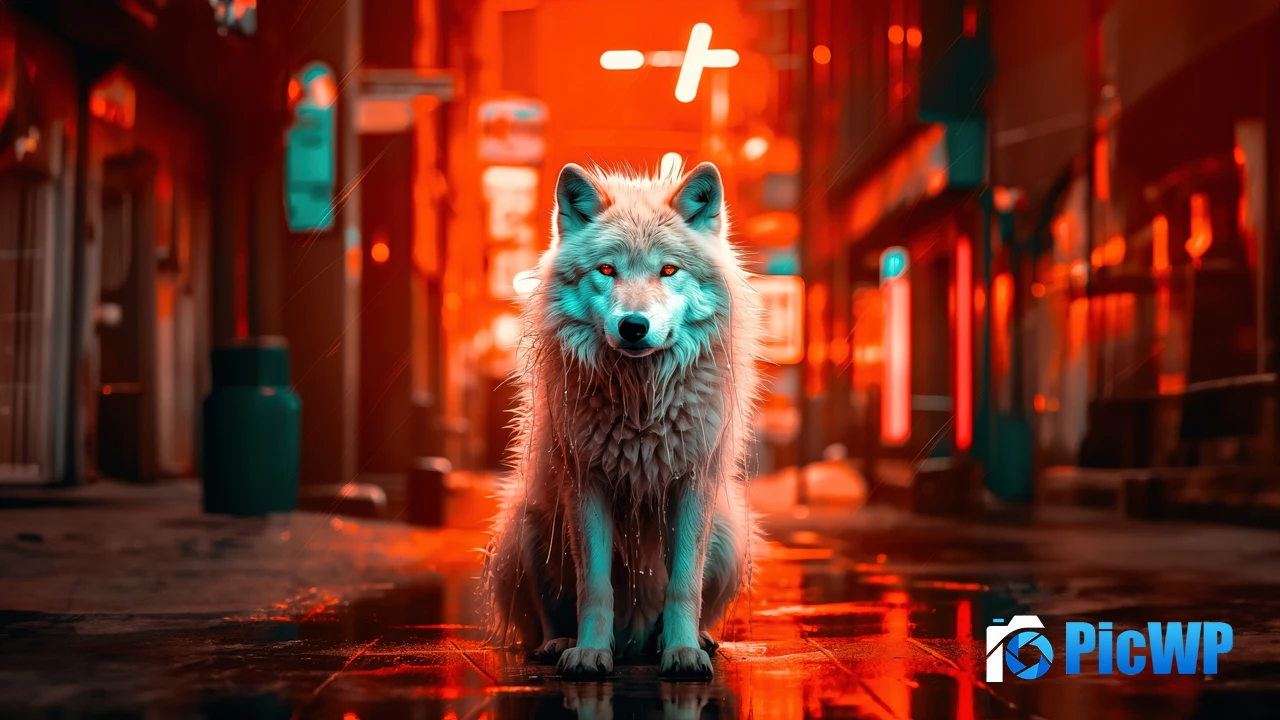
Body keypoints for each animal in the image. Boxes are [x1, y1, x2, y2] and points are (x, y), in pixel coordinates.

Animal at [481, 161, 762, 679]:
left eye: (668, 270)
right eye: (607, 270)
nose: (634, 326)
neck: (641, 405)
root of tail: (634, 637)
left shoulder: (691, 484)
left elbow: (684, 585)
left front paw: (682, 651)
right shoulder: (587, 484)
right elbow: (594, 586)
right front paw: (590, 652)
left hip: (731, 532)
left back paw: (690, 640)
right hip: (527, 527)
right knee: (547, 616)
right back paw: (560, 643)